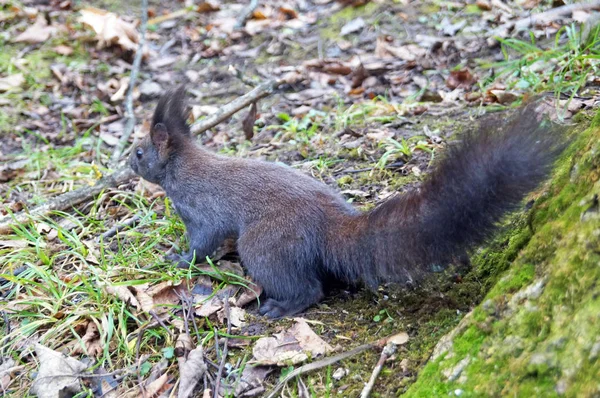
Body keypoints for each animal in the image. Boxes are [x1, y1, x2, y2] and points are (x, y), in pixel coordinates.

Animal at [129, 88, 564, 318]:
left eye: (138, 152)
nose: (126, 164)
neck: (181, 166)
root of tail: (330, 223)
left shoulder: (201, 211)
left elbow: (202, 243)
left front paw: (178, 259)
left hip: (266, 245)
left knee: (308, 288)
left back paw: (280, 307)